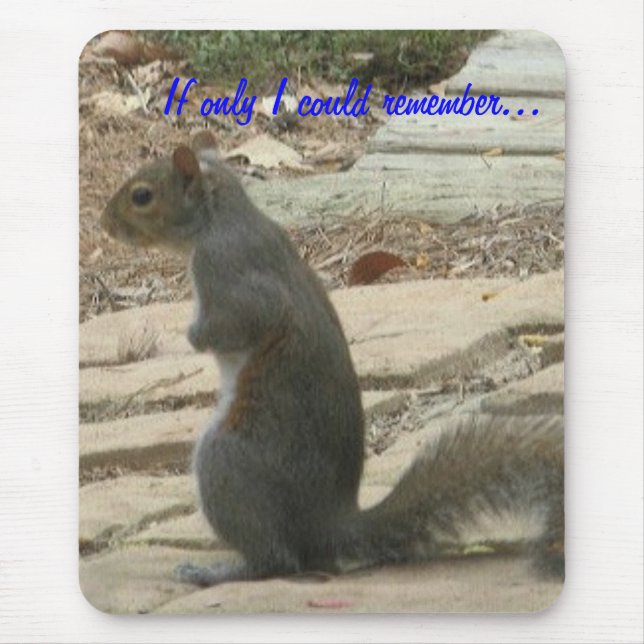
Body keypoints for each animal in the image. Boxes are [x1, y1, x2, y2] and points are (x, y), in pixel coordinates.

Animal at [101, 134, 564, 586]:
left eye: (142, 196)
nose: (104, 224)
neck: (220, 217)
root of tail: (330, 526)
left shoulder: (229, 270)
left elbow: (241, 321)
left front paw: (192, 336)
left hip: (226, 459)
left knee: (277, 560)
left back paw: (214, 572)